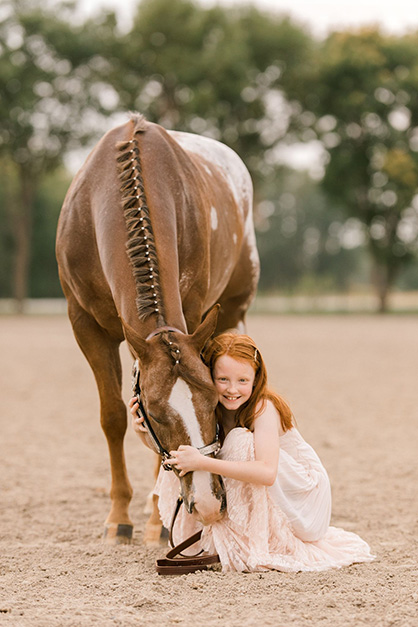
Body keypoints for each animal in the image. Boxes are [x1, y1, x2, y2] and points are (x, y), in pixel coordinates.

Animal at [55, 114, 258, 544]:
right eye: (156, 415)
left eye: (214, 402)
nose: (209, 501)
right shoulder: (85, 326)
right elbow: (114, 417)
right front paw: (119, 517)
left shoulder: (194, 317)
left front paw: (156, 519)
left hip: (234, 310)